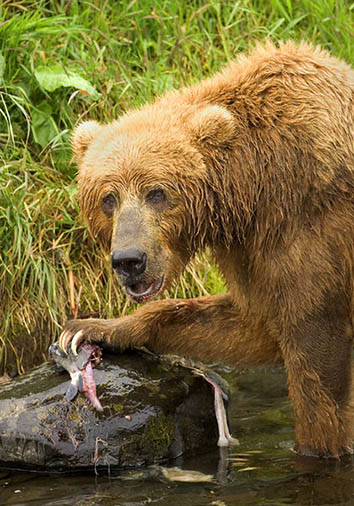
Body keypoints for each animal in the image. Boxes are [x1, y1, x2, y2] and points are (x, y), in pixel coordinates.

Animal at [60, 39, 354, 458]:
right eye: (108, 198)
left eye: (157, 192)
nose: (129, 260)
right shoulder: (253, 248)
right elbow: (254, 322)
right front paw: (93, 328)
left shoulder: (311, 222)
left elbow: (315, 345)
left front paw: (319, 449)